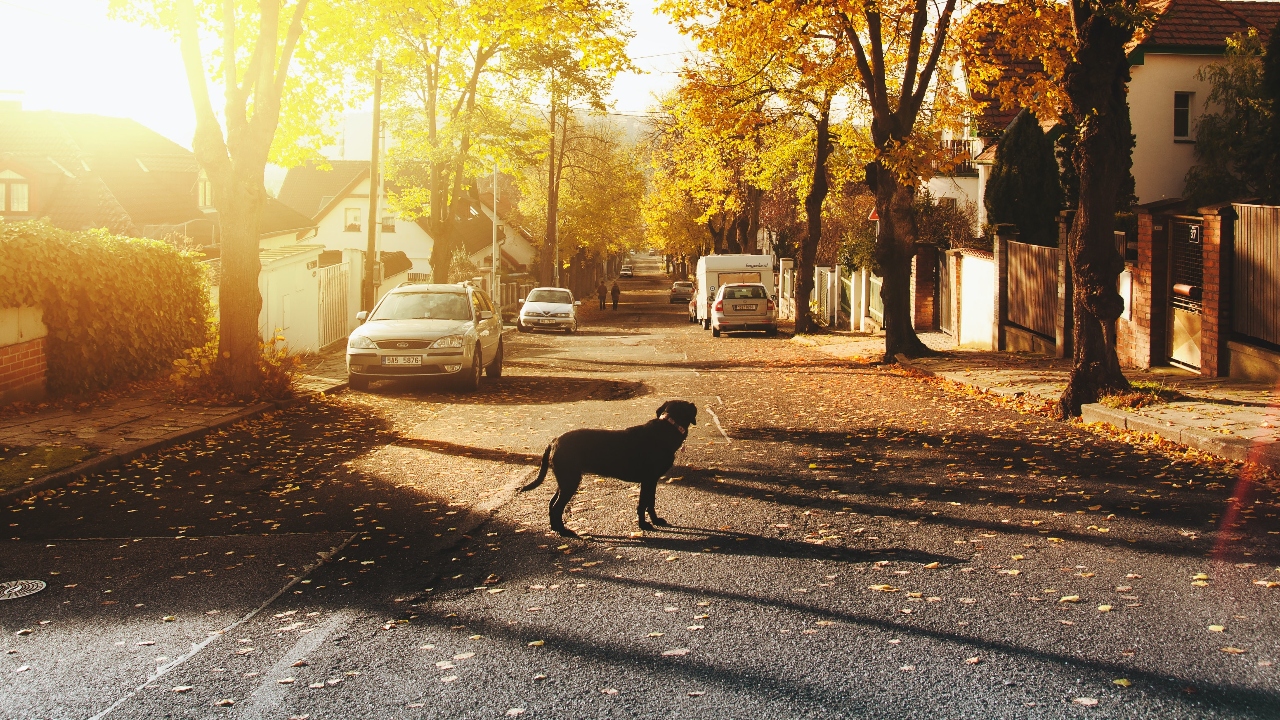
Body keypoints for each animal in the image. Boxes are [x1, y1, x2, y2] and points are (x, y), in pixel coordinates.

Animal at [519, 397, 701, 532]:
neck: (667, 429)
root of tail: (554, 441)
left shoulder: (653, 481)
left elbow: (651, 502)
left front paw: (656, 520)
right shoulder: (648, 480)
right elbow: (643, 503)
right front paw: (643, 525)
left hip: (565, 480)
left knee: (551, 504)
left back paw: (555, 528)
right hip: (570, 481)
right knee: (557, 507)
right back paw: (564, 531)